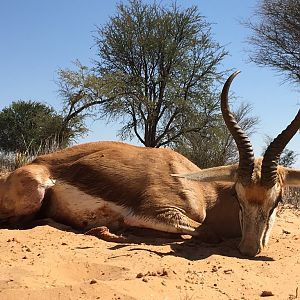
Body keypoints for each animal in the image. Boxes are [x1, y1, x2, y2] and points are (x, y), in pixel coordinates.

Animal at [0, 71, 298, 256]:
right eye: (238, 196)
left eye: (279, 199)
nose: (250, 249)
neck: (204, 192)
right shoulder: (155, 212)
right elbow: (206, 231)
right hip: (35, 191)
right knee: (18, 222)